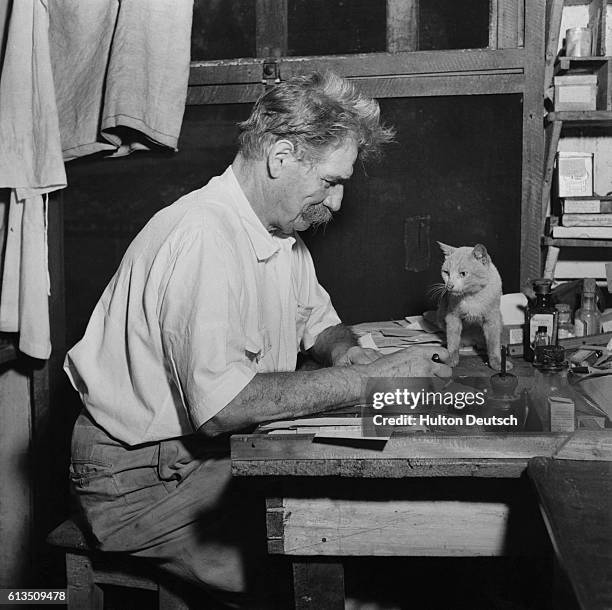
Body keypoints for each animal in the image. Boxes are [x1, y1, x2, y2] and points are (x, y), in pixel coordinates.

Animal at [430, 240, 502, 368]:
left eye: (463, 274)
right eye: (446, 273)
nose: (449, 285)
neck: (472, 296)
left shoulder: (492, 320)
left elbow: (494, 344)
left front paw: (497, 363)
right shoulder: (452, 317)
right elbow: (453, 341)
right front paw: (451, 359)